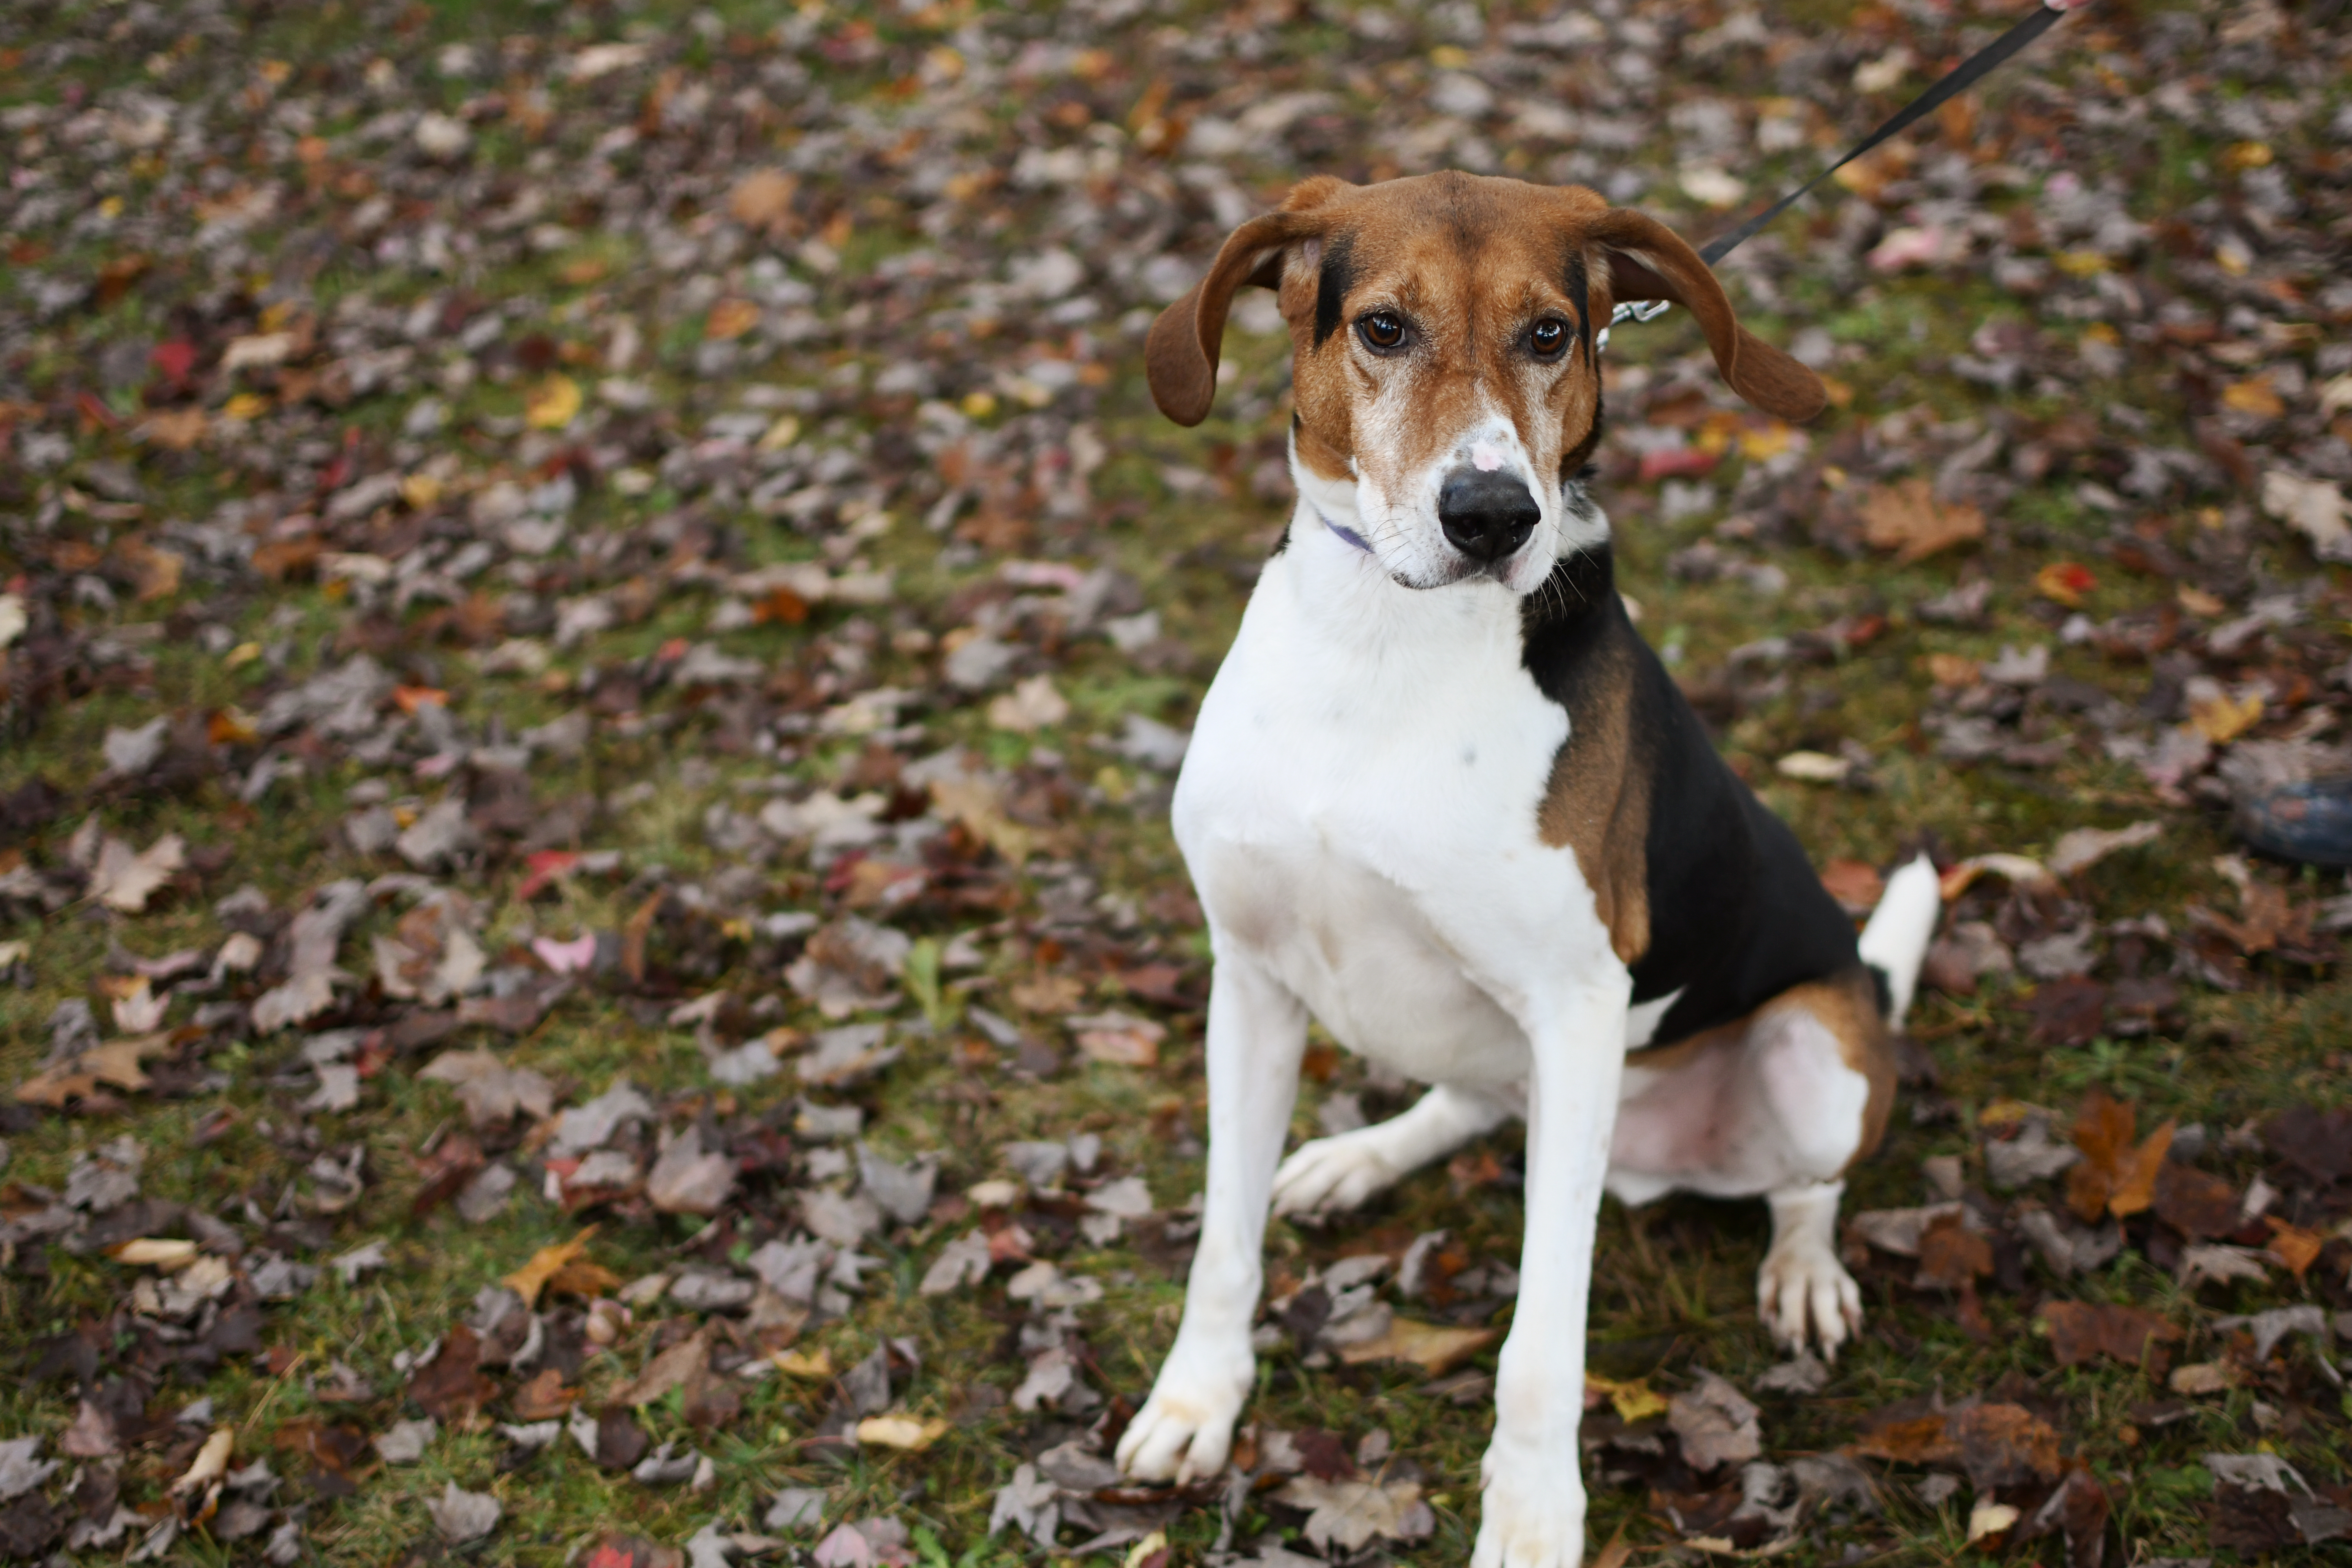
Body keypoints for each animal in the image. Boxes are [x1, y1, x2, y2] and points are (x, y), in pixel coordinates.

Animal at [1119, 175, 1947, 1568]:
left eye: (1552, 332)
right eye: (1383, 327)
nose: (1492, 514)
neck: (1384, 640)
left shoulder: (1576, 1010)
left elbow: (1538, 1346)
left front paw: (1531, 1517)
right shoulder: (1250, 980)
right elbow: (1223, 1242)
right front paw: (1195, 1402)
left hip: (1813, 1051)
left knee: (1806, 1184)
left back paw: (1802, 1271)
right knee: (1466, 1100)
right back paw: (1359, 1158)